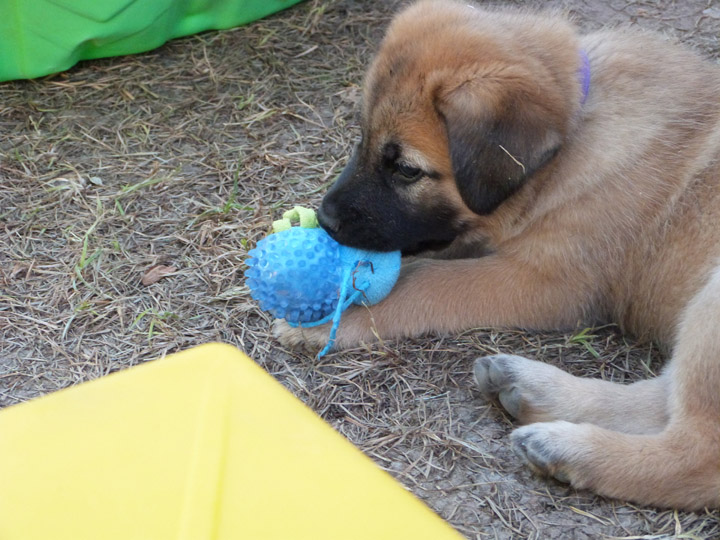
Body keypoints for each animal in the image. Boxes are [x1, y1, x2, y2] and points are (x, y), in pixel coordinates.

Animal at [274, 0, 720, 510]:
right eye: (362, 138)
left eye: (406, 170)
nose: (324, 219)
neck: (573, 143)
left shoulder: (548, 283)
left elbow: (425, 281)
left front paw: (336, 312)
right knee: (664, 399)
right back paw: (532, 388)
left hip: (712, 303)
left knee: (697, 452)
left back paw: (571, 450)